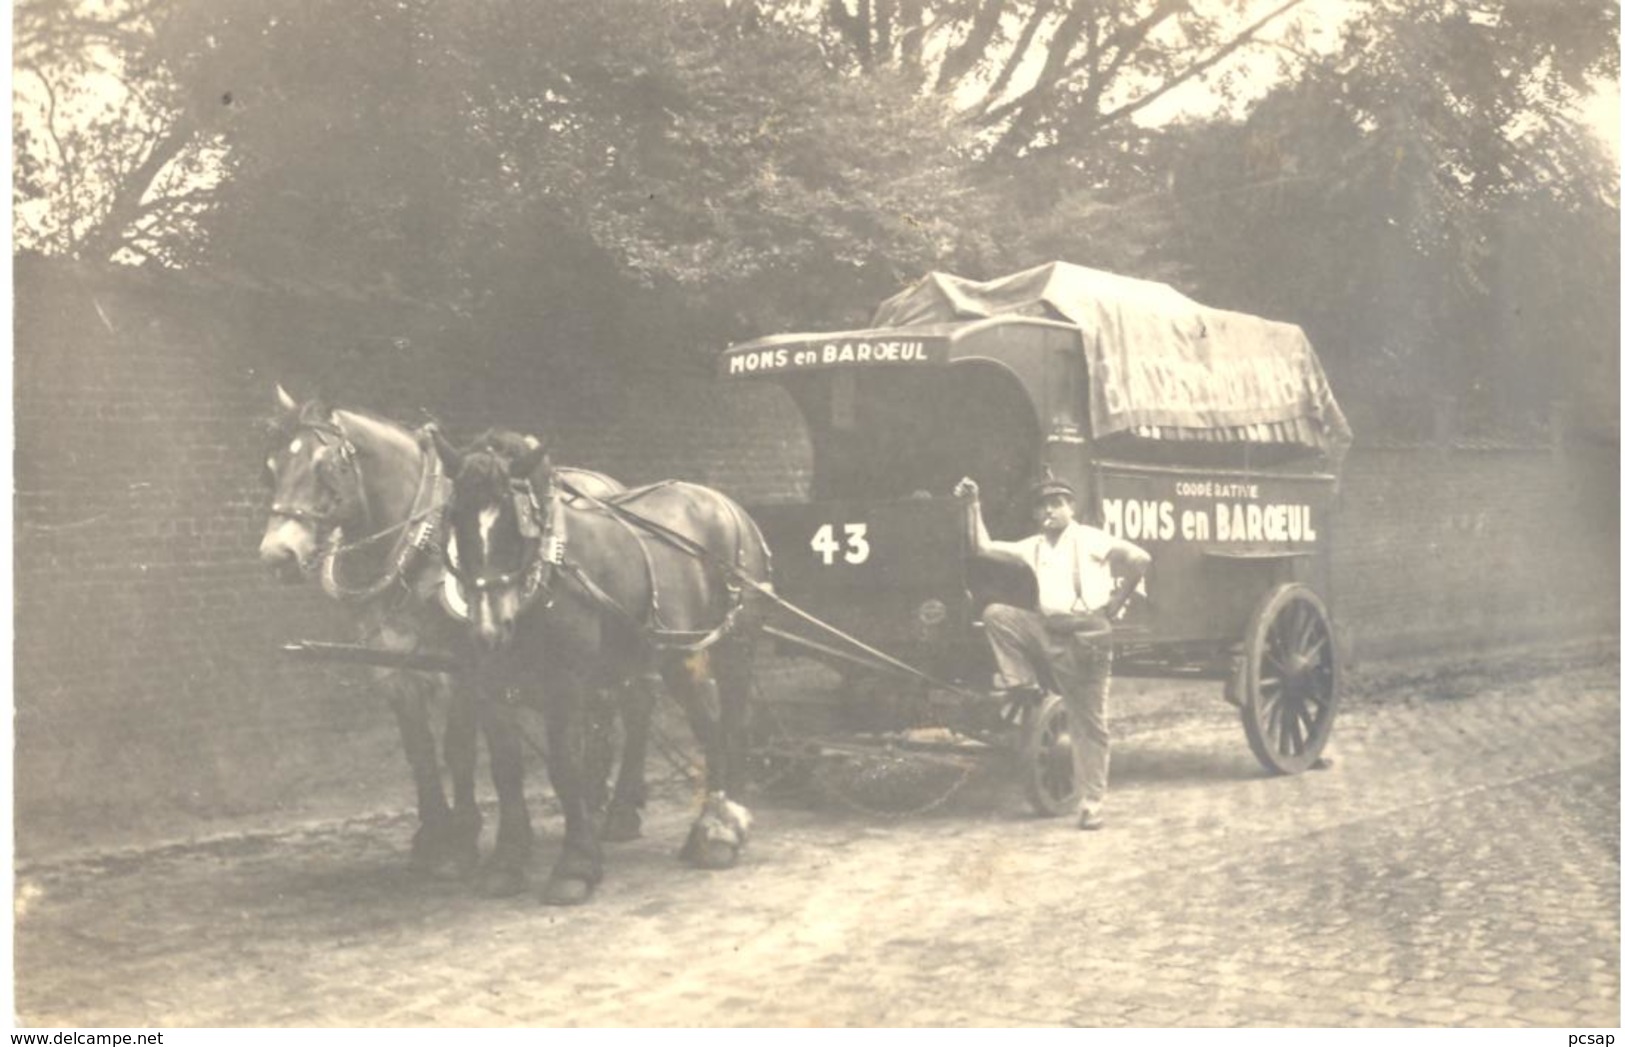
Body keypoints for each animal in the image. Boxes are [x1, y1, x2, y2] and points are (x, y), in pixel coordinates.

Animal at [256, 390, 650, 877]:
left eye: (324, 466)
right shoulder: (394, 668)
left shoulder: (463, 667)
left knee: (636, 705)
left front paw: (462, 837)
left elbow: (457, 747)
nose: (277, 555)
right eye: (271, 467)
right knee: (600, 711)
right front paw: (433, 835)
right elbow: (420, 752)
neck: (415, 549)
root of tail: (611, 485)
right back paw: (594, 798)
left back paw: (621, 811)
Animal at [435, 429, 770, 903]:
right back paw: (705, 832)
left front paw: (575, 866)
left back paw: (725, 831)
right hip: (678, 653)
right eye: (456, 519)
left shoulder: (568, 683)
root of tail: (729, 506)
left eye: (514, 526)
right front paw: (506, 862)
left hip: (735, 645)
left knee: (734, 726)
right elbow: (506, 768)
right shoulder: (489, 684)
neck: (547, 574)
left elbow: (565, 767)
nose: (489, 629)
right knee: (710, 729)